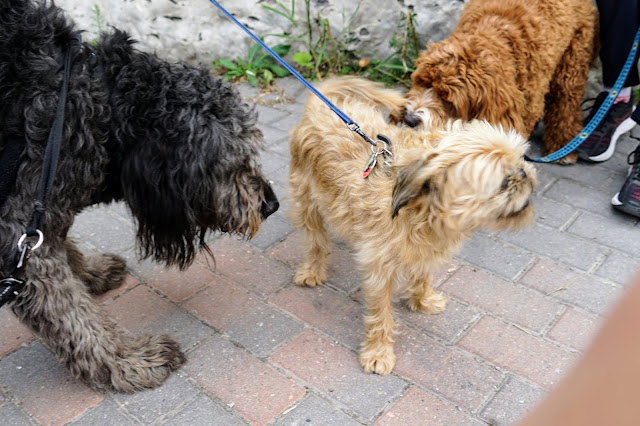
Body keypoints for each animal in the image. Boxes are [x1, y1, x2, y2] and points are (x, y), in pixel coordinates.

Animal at [0, 0, 280, 392]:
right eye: (233, 161)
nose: (271, 205)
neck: (99, 103)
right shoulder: (18, 223)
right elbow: (73, 315)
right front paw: (127, 360)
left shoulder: (35, 214)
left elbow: (59, 246)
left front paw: (88, 272)